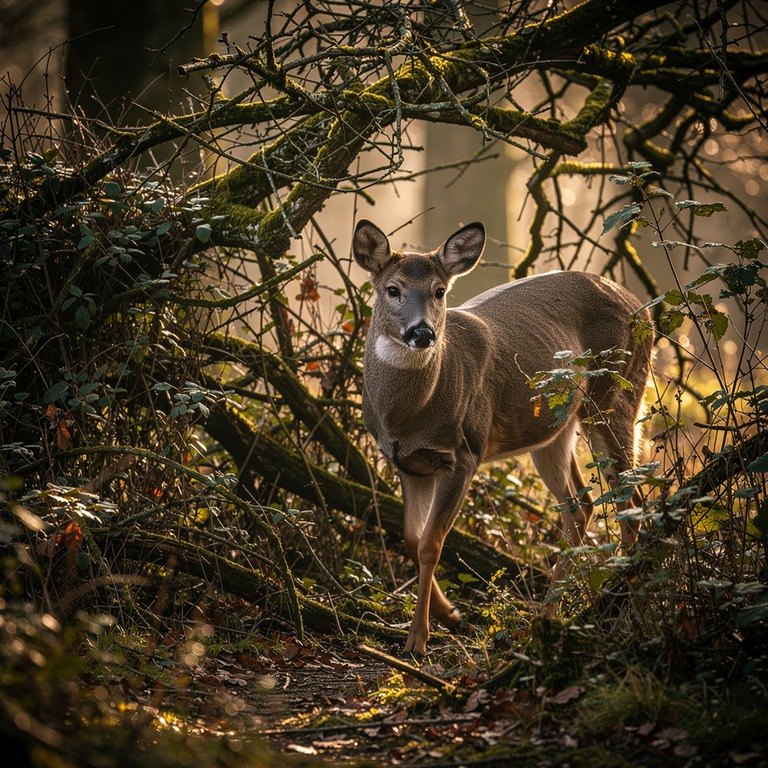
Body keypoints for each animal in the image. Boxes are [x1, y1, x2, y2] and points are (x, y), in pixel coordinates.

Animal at [352, 219, 653, 656]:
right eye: (393, 289)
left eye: (440, 291)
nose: (422, 332)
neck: (408, 417)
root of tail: (642, 307)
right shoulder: (407, 463)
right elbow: (410, 539)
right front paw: (449, 614)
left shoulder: (463, 453)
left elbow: (431, 545)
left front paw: (418, 639)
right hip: (553, 431)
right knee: (581, 505)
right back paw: (549, 615)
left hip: (617, 394)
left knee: (631, 499)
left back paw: (621, 605)